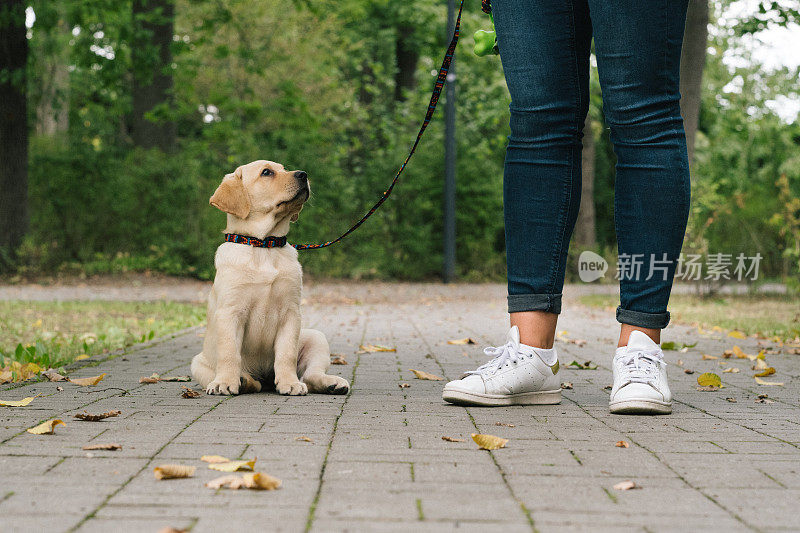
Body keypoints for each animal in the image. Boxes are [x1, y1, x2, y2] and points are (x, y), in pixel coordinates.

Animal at [191, 159, 350, 394]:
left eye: (284, 169)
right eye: (266, 172)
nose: (303, 174)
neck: (264, 246)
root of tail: (264, 378)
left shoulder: (291, 313)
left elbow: (286, 354)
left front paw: (290, 383)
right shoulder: (230, 312)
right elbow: (229, 353)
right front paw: (225, 382)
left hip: (316, 338)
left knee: (311, 374)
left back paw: (331, 383)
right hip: (198, 363)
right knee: (250, 380)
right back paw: (244, 380)